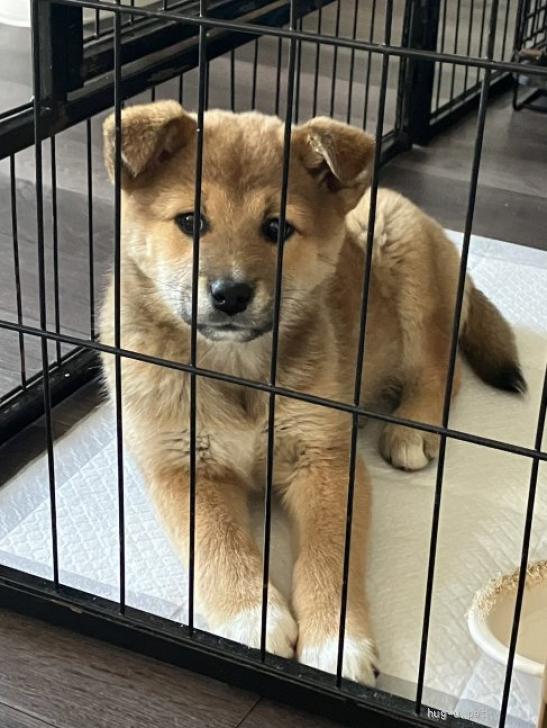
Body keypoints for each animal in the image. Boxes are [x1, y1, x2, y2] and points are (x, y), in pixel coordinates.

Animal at [100, 101, 524, 685]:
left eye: (277, 228)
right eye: (190, 222)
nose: (230, 294)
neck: (239, 372)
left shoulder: (325, 459)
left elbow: (329, 555)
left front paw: (337, 640)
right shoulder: (181, 466)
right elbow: (215, 544)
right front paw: (251, 615)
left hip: (408, 270)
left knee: (441, 369)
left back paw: (410, 428)